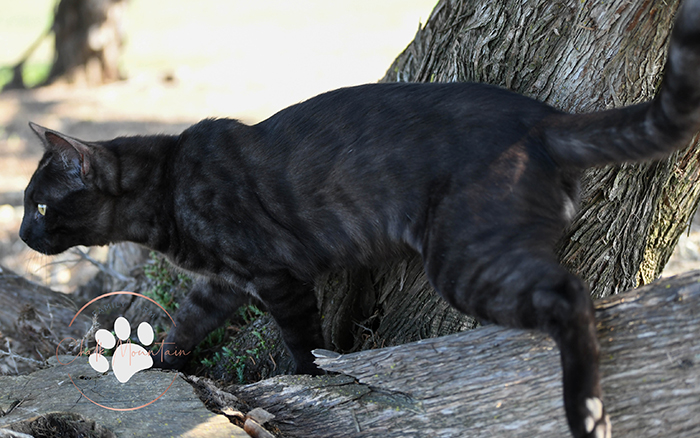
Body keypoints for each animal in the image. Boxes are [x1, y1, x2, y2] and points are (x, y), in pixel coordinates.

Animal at [19, 1, 700, 436]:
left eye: (43, 205)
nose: (22, 233)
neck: (166, 184)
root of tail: (544, 120)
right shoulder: (221, 282)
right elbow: (186, 322)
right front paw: (153, 361)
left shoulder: (279, 277)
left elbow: (302, 341)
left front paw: (305, 382)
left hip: (466, 258)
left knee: (573, 294)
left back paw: (588, 412)